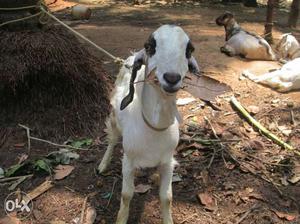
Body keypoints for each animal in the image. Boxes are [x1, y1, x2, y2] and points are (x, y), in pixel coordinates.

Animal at [98, 24, 200, 224]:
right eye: (150, 46)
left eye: (189, 50)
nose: (171, 78)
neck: (154, 129)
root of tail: (130, 57)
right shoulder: (128, 161)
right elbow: (126, 195)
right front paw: (121, 219)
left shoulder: (168, 162)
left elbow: (167, 197)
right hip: (114, 118)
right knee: (112, 139)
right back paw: (103, 164)